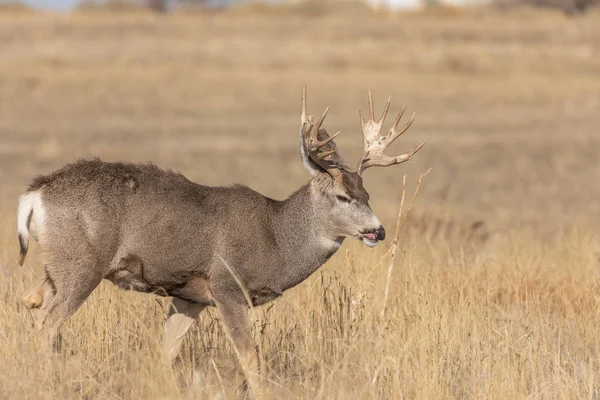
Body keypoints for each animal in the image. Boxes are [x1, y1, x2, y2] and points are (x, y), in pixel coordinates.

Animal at [16, 86, 424, 392]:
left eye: (367, 194)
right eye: (342, 196)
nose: (378, 231)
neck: (275, 238)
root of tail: (34, 195)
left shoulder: (189, 296)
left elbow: (166, 352)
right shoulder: (228, 287)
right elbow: (251, 359)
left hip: (57, 265)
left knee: (31, 303)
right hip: (81, 265)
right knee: (47, 323)